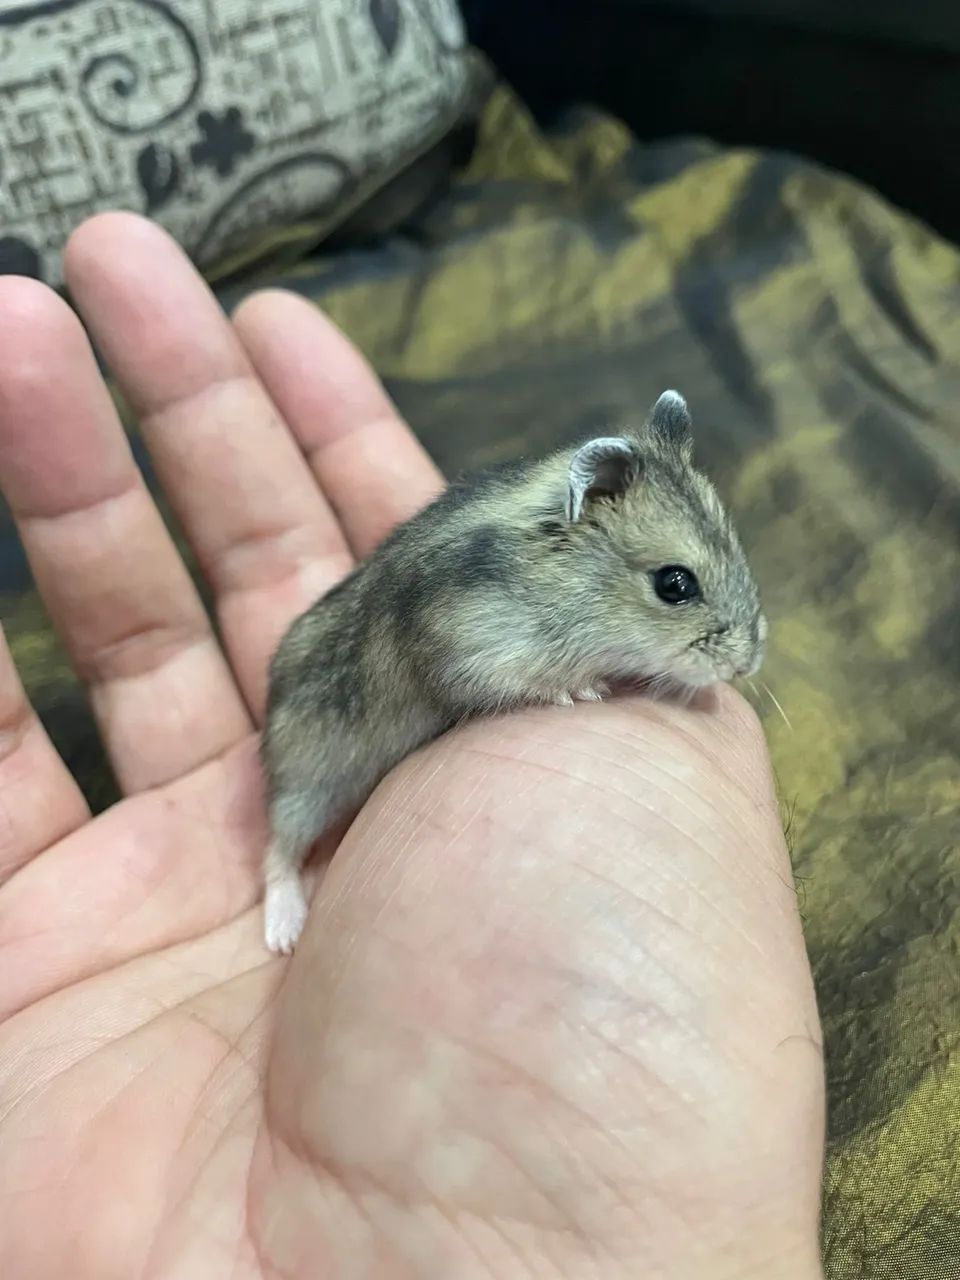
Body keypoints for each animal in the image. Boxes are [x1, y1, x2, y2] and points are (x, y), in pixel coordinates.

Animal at [260, 390, 766, 953]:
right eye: (675, 584)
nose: (749, 662)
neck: (559, 571)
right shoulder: (471, 649)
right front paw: (584, 690)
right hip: (312, 777)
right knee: (278, 847)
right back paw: (283, 933)